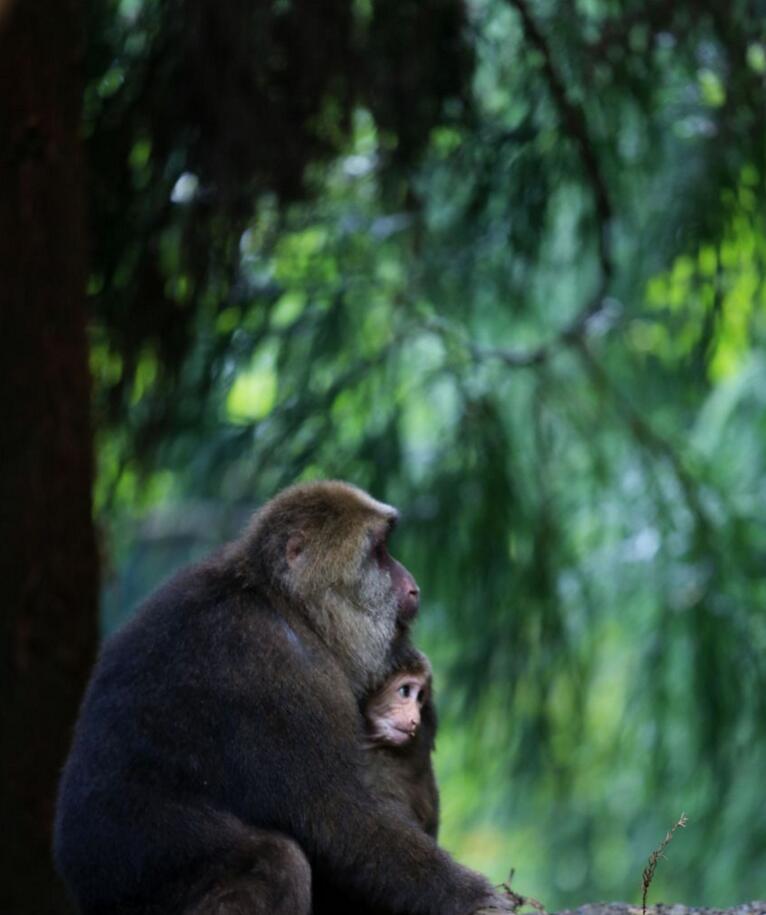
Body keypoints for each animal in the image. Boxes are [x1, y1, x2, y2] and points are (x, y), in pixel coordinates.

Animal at [54, 484, 510, 912]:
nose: (412, 585)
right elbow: (333, 814)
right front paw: (472, 896)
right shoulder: (279, 668)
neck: (286, 605)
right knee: (278, 860)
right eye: (380, 554)